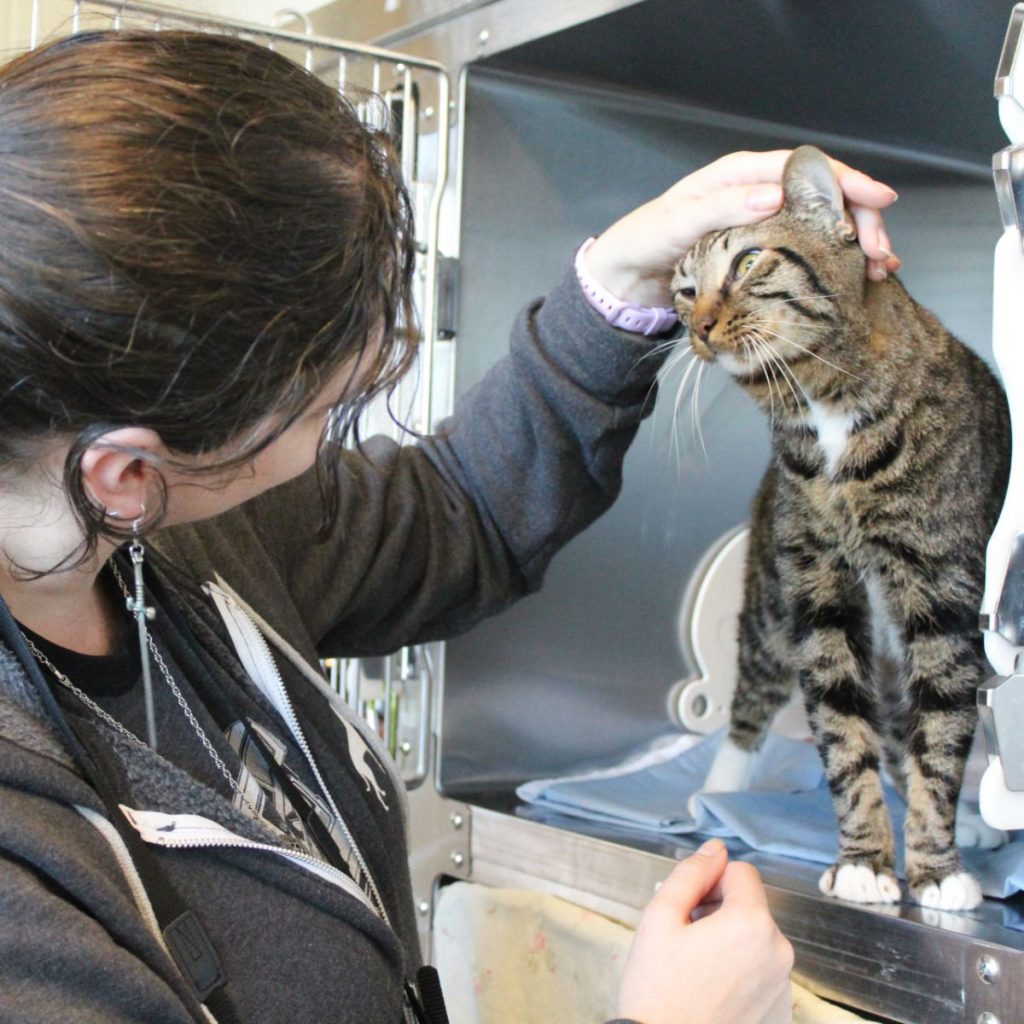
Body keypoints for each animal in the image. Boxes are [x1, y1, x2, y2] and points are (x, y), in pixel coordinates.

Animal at [675, 146, 1011, 913]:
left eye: (748, 262)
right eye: (683, 289)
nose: (698, 324)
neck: (822, 406)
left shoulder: (941, 594)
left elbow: (939, 734)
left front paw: (936, 867)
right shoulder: (820, 590)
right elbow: (841, 728)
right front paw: (864, 862)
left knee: (904, 722)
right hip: (772, 597)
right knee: (754, 701)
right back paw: (717, 793)